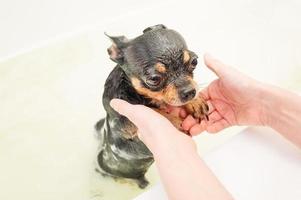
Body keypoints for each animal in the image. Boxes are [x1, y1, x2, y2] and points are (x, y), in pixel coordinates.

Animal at [95, 24, 207, 188]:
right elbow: (153, 111)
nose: (190, 92)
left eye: (194, 62)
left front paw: (196, 103)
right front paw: (172, 119)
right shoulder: (125, 122)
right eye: (154, 79)